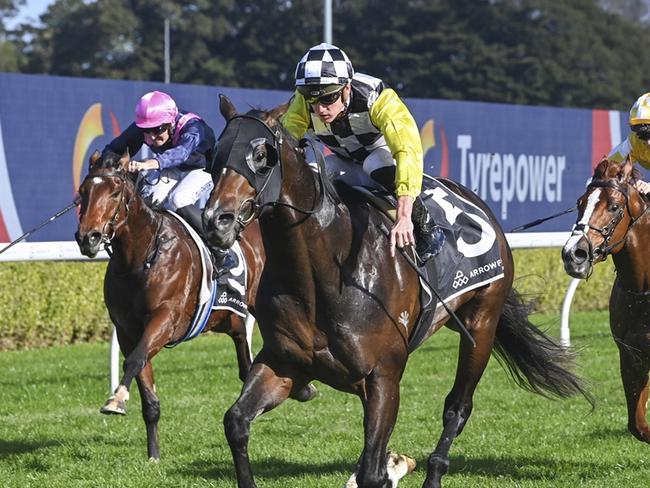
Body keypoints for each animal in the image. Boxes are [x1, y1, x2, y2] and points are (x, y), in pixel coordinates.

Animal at [75, 150, 266, 462]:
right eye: (83, 192)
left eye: (114, 192)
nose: (87, 237)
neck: (141, 258)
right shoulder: (127, 330)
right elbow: (144, 381)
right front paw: (153, 453)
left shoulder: (165, 318)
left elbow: (135, 360)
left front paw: (116, 399)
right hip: (224, 315)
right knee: (239, 332)